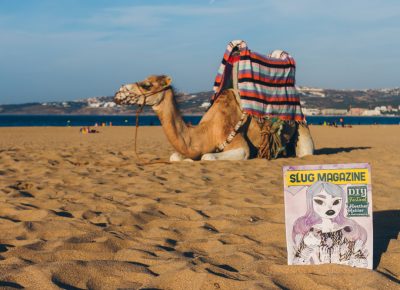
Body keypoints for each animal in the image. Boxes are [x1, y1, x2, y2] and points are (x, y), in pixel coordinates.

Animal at [114, 75, 314, 161]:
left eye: (147, 85)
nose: (118, 93)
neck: (206, 131)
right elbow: (175, 157)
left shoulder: (239, 145)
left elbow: (207, 157)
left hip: (302, 126)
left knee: (305, 152)